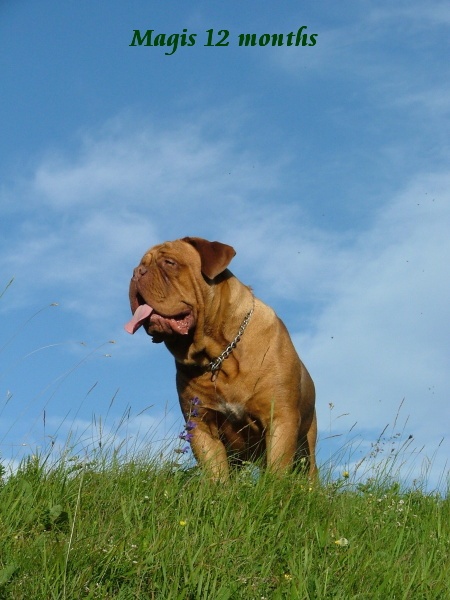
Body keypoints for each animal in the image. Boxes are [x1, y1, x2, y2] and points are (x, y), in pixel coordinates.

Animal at [125, 237, 318, 480]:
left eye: (170, 263)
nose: (137, 272)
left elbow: (277, 470)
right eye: (140, 265)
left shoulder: (280, 418)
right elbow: (216, 474)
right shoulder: (201, 425)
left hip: (306, 447)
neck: (220, 355)